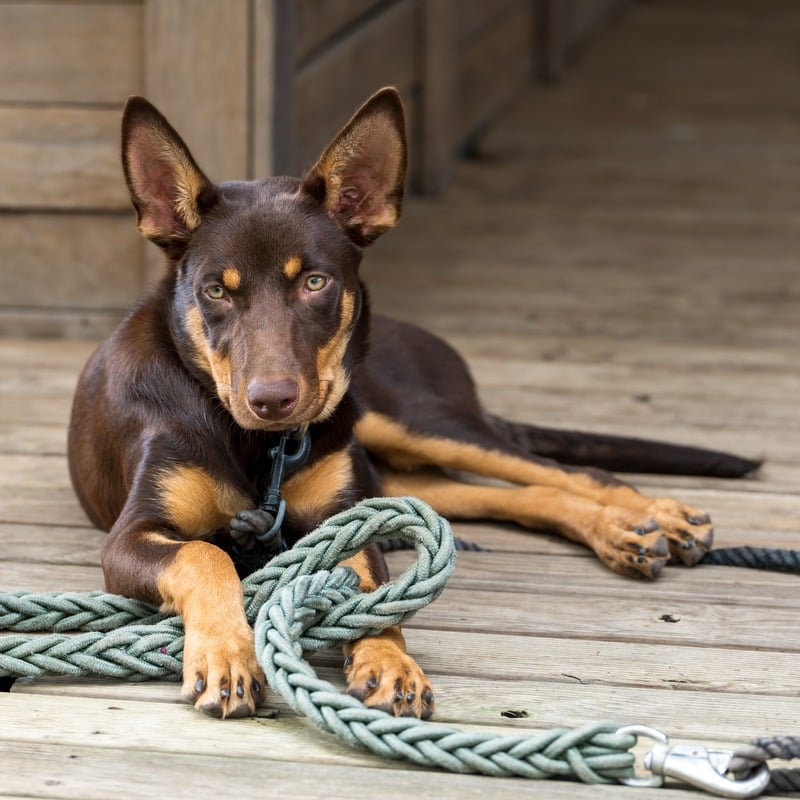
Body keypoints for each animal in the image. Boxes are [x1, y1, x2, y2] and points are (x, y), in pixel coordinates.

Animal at [69, 86, 756, 720]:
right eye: (215, 291)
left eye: (315, 282)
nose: (273, 402)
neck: (255, 445)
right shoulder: (132, 534)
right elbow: (206, 553)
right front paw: (225, 655)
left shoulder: (347, 518)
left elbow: (367, 593)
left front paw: (389, 661)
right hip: (399, 474)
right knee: (523, 493)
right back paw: (624, 533)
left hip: (410, 423)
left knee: (568, 471)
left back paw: (656, 518)